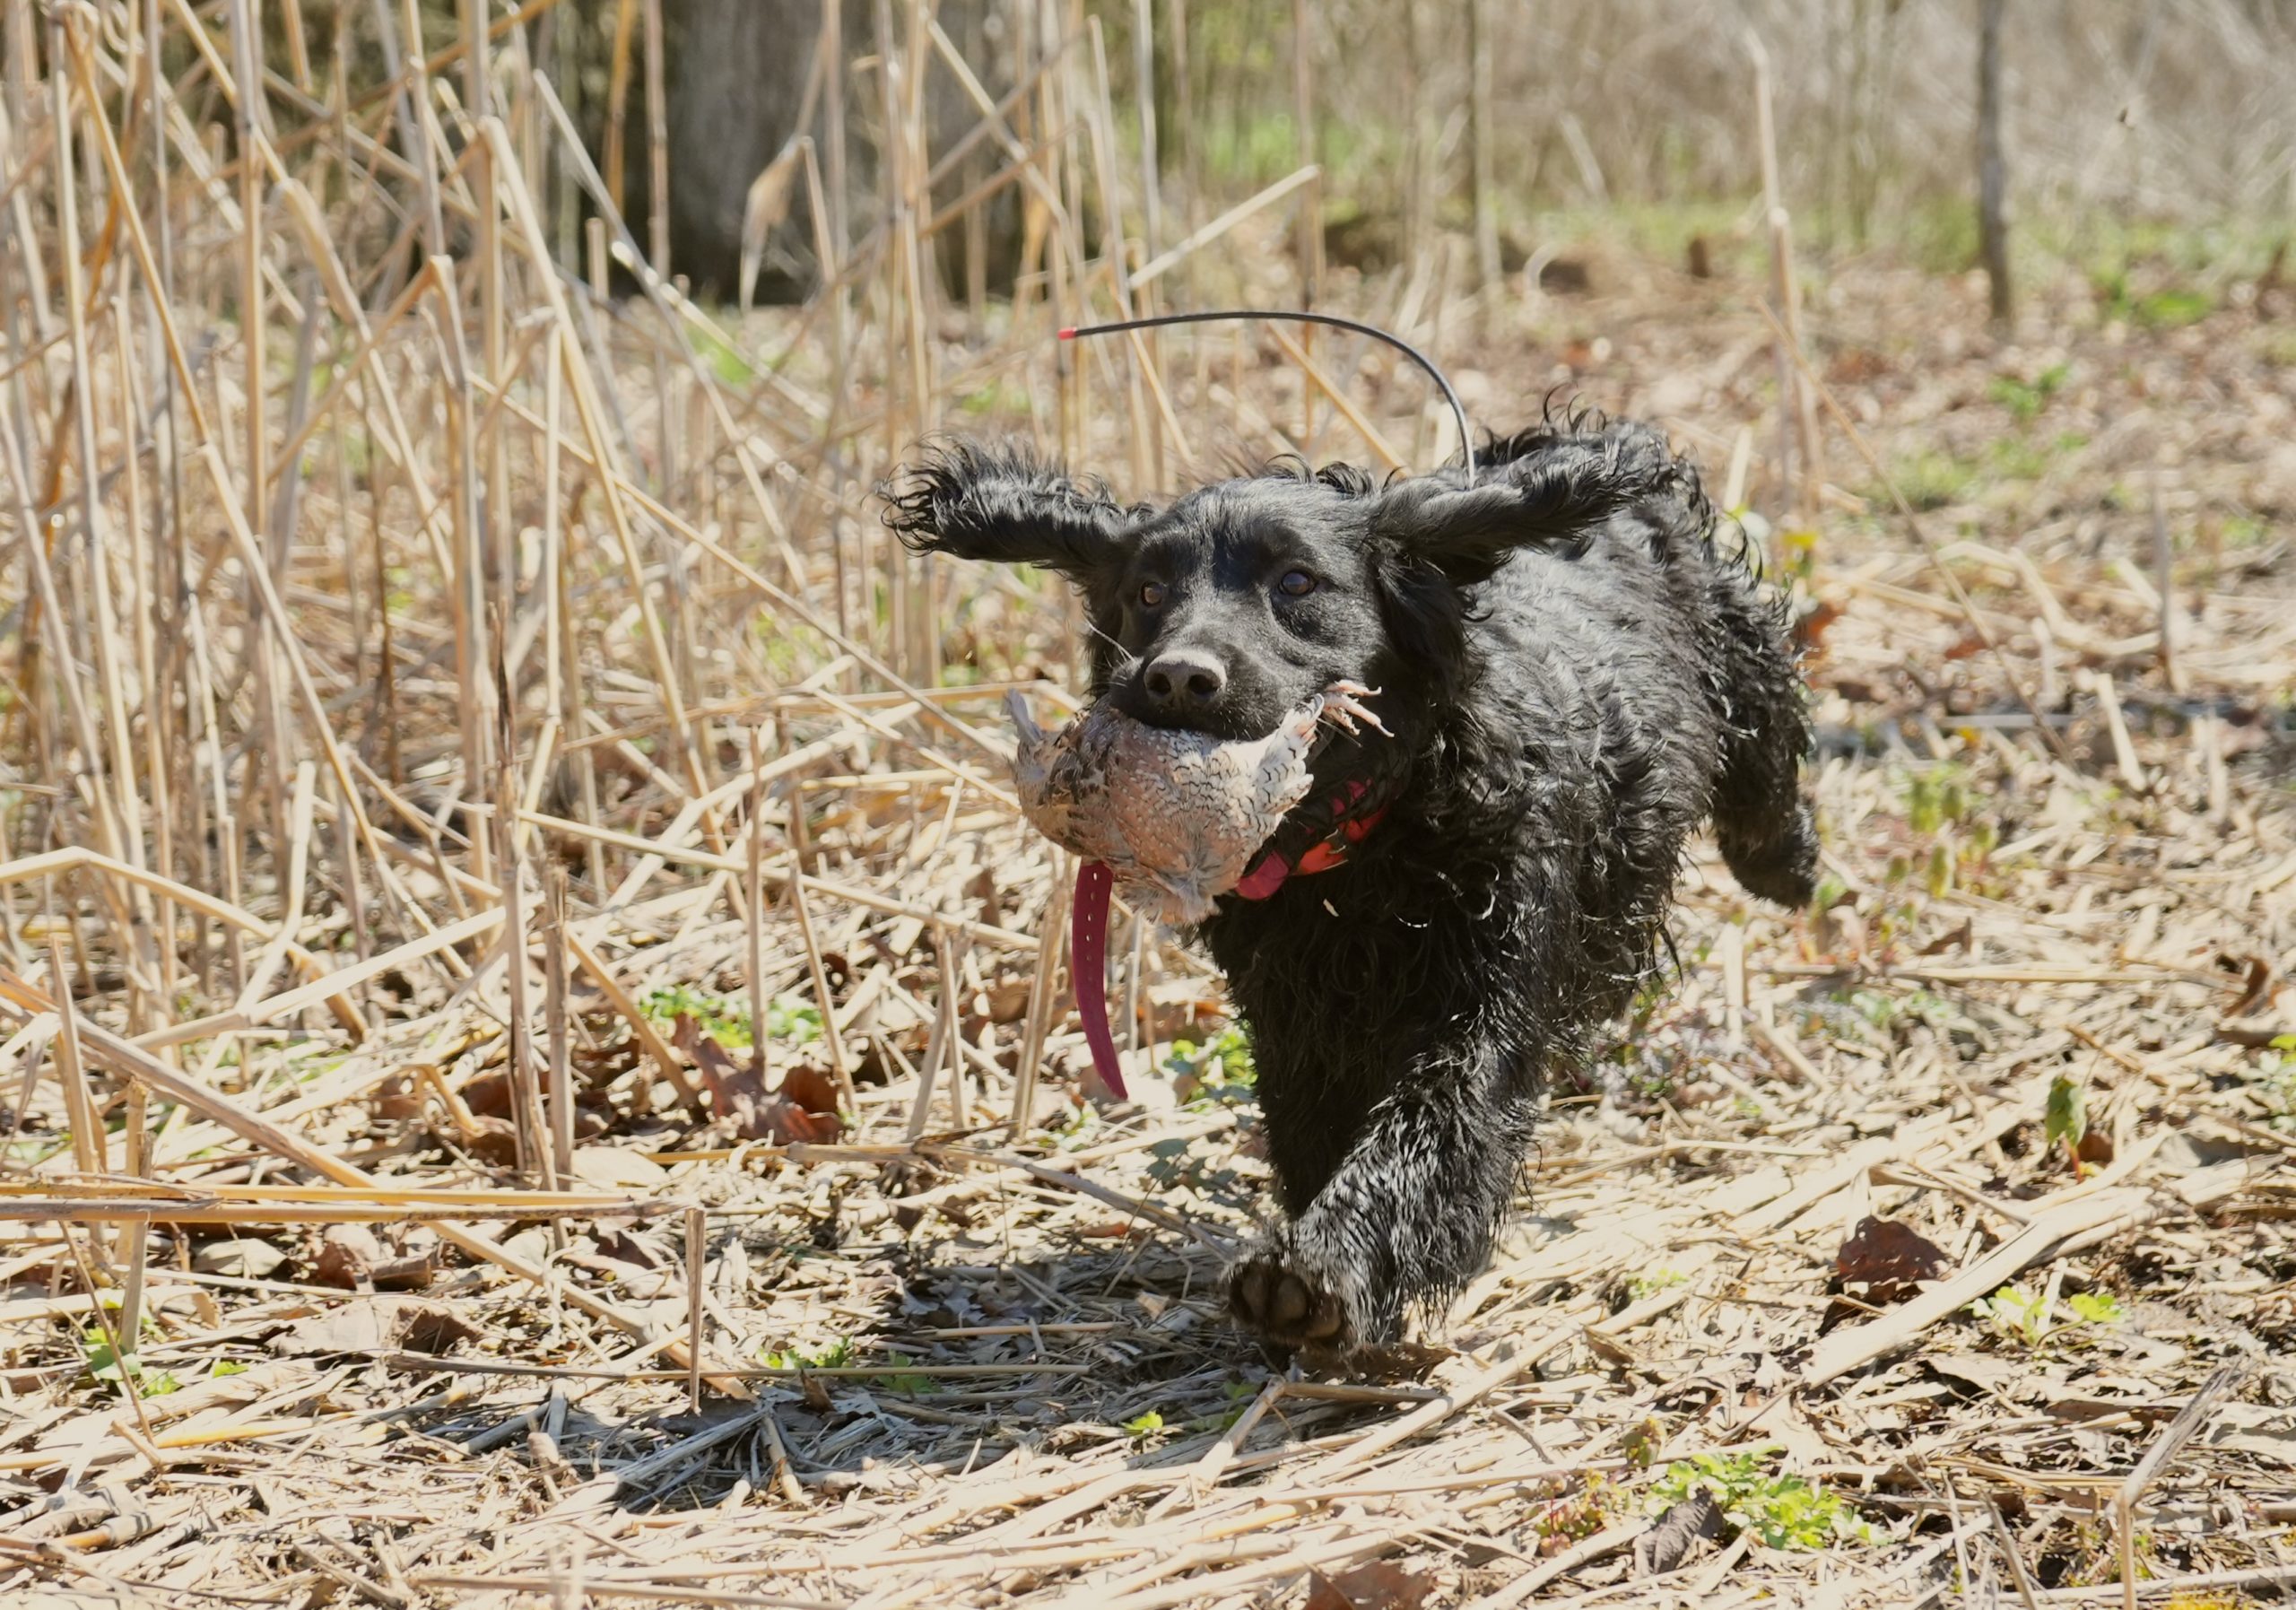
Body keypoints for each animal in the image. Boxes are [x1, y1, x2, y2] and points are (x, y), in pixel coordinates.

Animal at [876, 411, 1809, 1341]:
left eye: (1297, 581)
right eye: (1148, 593)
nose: (1177, 676)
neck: (1357, 849)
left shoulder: (1483, 996)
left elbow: (1431, 1127)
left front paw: (1323, 1266)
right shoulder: (1294, 1017)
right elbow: (1312, 1126)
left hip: (1737, 651)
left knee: (1767, 752)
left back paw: (1786, 864)